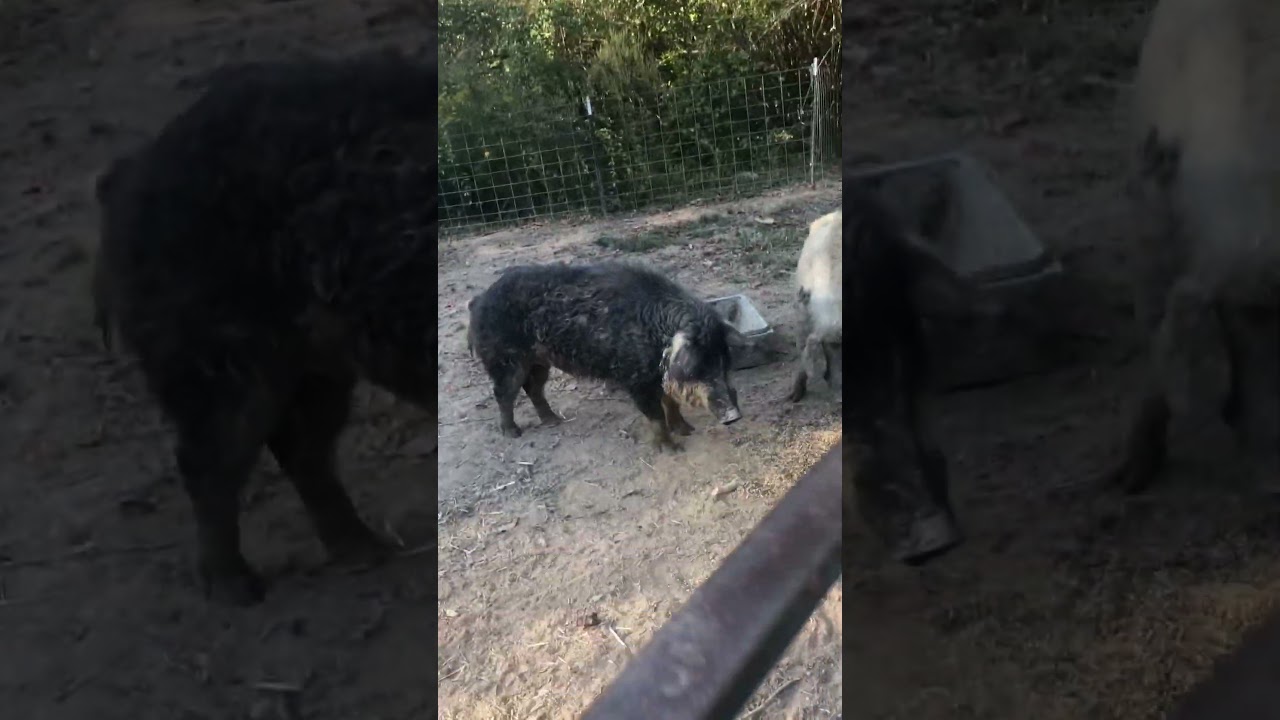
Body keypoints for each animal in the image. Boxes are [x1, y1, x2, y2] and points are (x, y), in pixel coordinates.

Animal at [90, 50, 436, 606]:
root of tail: (131, 173)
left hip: (317, 360)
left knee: (300, 447)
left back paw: (364, 551)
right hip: (217, 352)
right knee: (207, 458)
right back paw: (236, 589)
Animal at [466, 262, 743, 452]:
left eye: (723, 363)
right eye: (698, 367)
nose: (734, 416)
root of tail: (479, 300)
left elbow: (671, 403)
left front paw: (687, 431)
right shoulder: (635, 379)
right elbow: (655, 415)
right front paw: (673, 450)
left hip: (539, 361)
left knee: (533, 389)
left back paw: (553, 421)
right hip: (505, 359)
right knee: (503, 393)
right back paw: (513, 433)